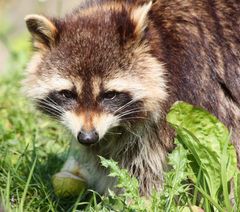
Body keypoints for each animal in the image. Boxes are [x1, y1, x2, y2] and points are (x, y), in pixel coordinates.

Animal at [23, 0, 240, 196]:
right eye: (67, 94)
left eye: (110, 95)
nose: (87, 137)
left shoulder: (193, 90)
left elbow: (149, 168)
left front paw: (141, 199)